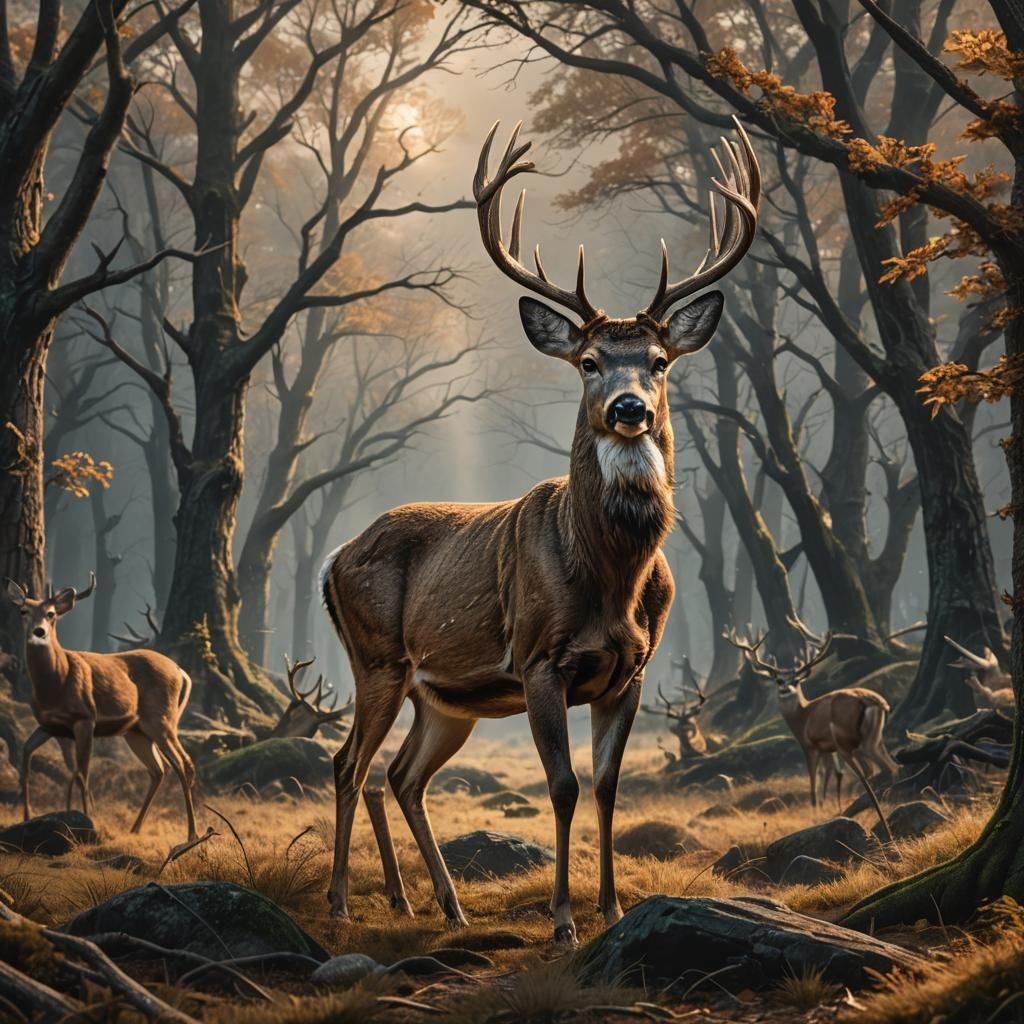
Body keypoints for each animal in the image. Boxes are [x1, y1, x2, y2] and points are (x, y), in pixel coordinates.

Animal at [4, 575, 198, 843]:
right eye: (24, 611)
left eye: (51, 613)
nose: (39, 631)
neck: (56, 682)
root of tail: (181, 672)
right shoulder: (50, 726)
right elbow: (29, 757)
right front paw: (27, 816)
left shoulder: (85, 718)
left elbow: (83, 773)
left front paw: (88, 821)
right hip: (136, 732)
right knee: (159, 769)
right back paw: (135, 828)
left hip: (162, 720)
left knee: (184, 764)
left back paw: (192, 834)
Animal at [318, 118, 759, 945]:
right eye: (588, 361)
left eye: (659, 360)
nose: (628, 407)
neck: (612, 580)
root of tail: (332, 558)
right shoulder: (537, 660)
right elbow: (561, 786)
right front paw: (562, 921)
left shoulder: (633, 671)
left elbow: (610, 786)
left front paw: (612, 908)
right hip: (378, 658)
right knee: (347, 762)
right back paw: (340, 902)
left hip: (445, 698)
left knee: (400, 775)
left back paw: (434, 902)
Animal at [725, 622, 897, 836]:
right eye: (778, 680)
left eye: (796, 680)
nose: (786, 689)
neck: (802, 716)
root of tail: (877, 702)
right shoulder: (827, 748)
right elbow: (829, 775)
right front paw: (826, 809)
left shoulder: (810, 746)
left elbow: (813, 784)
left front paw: (816, 813)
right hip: (874, 739)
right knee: (890, 767)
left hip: (849, 742)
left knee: (873, 770)